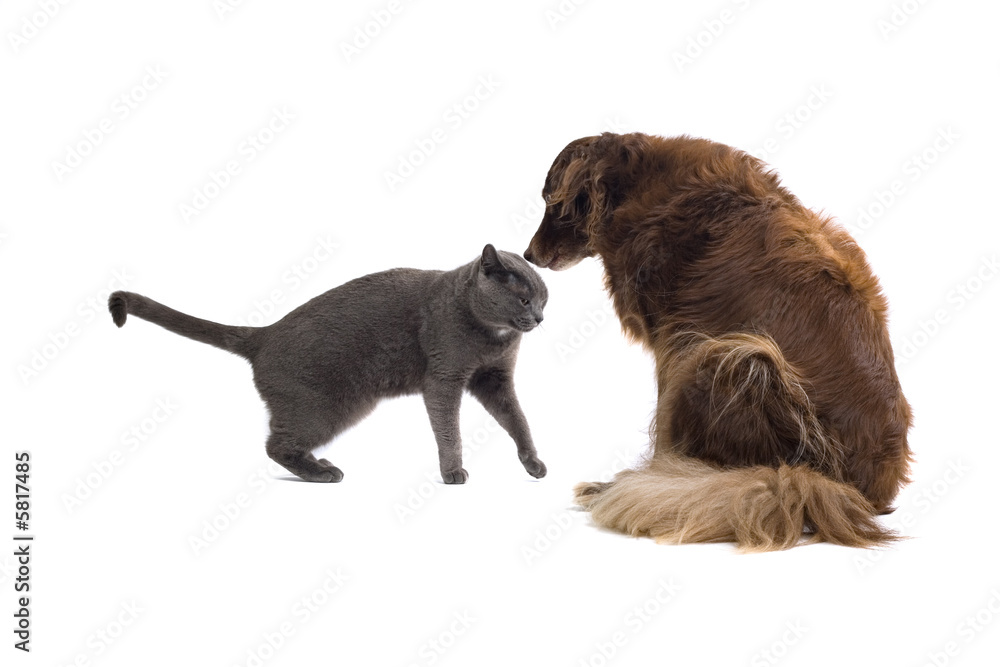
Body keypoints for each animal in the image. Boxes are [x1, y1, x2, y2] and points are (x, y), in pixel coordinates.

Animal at [107, 245, 548, 486]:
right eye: (524, 300)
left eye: (544, 300)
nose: (540, 318)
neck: (491, 337)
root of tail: (265, 334)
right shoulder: (444, 379)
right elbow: (449, 430)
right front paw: (453, 471)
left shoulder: (495, 378)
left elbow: (518, 419)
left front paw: (533, 462)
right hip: (327, 407)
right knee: (276, 444)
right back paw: (323, 473)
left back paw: (319, 464)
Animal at [524, 133, 916, 552]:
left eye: (551, 202)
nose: (528, 254)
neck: (635, 184)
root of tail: (854, 489)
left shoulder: (674, 341)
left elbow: (663, 431)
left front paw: (654, 479)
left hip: (731, 359)